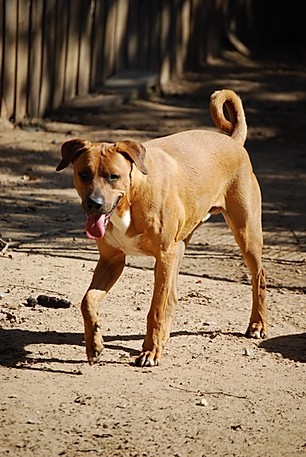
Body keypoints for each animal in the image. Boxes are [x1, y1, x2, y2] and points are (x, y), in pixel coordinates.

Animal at [56, 90, 266, 366]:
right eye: (83, 173)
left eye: (113, 176)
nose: (94, 203)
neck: (131, 198)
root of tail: (233, 141)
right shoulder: (113, 259)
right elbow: (87, 301)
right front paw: (94, 344)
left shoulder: (164, 255)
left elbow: (155, 308)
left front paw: (150, 351)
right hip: (180, 247)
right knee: (173, 298)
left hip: (246, 234)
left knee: (259, 277)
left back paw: (257, 324)